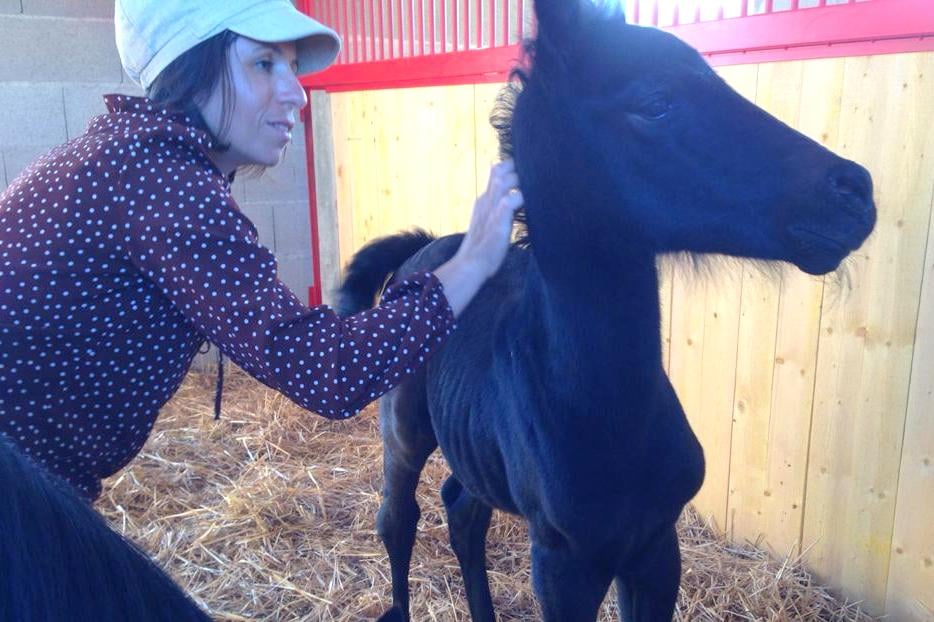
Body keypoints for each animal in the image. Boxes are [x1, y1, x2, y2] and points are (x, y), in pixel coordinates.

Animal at [337, 0, 876, 619]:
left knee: (463, 510)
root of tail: (424, 248)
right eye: (655, 103)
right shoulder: (564, 566)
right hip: (403, 432)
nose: (856, 192)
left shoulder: (655, 547)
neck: (608, 413)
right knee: (398, 518)